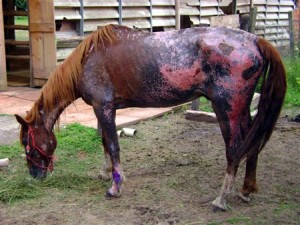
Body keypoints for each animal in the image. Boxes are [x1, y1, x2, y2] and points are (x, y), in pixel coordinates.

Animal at [15, 24, 288, 211]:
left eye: (27, 144)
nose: (36, 176)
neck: (88, 60)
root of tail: (255, 40)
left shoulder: (103, 108)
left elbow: (112, 145)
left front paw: (115, 187)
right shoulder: (104, 109)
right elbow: (105, 143)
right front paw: (106, 173)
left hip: (227, 110)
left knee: (235, 150)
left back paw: (221, 199)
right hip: (241, 111)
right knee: (252, 144)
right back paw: (246, 190)